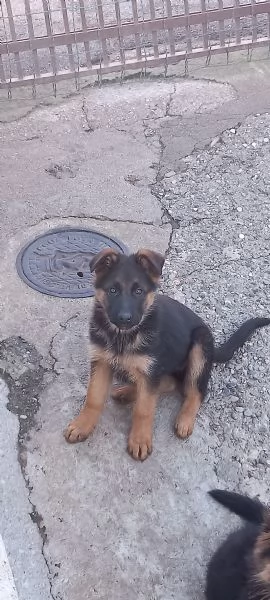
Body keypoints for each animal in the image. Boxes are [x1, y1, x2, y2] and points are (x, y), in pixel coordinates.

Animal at [64, 248, 268, 460]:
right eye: (113, 290)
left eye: (139, 291)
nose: (125, 318)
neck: (123, 336)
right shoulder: (102, 361)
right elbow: (93, 397)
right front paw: (82, 425)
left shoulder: (151, 369)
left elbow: (144, 409)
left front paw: (140, 440)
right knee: (167, 383)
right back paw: (128, 391)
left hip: (200, 345)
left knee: (195, 391)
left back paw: (184, 419)